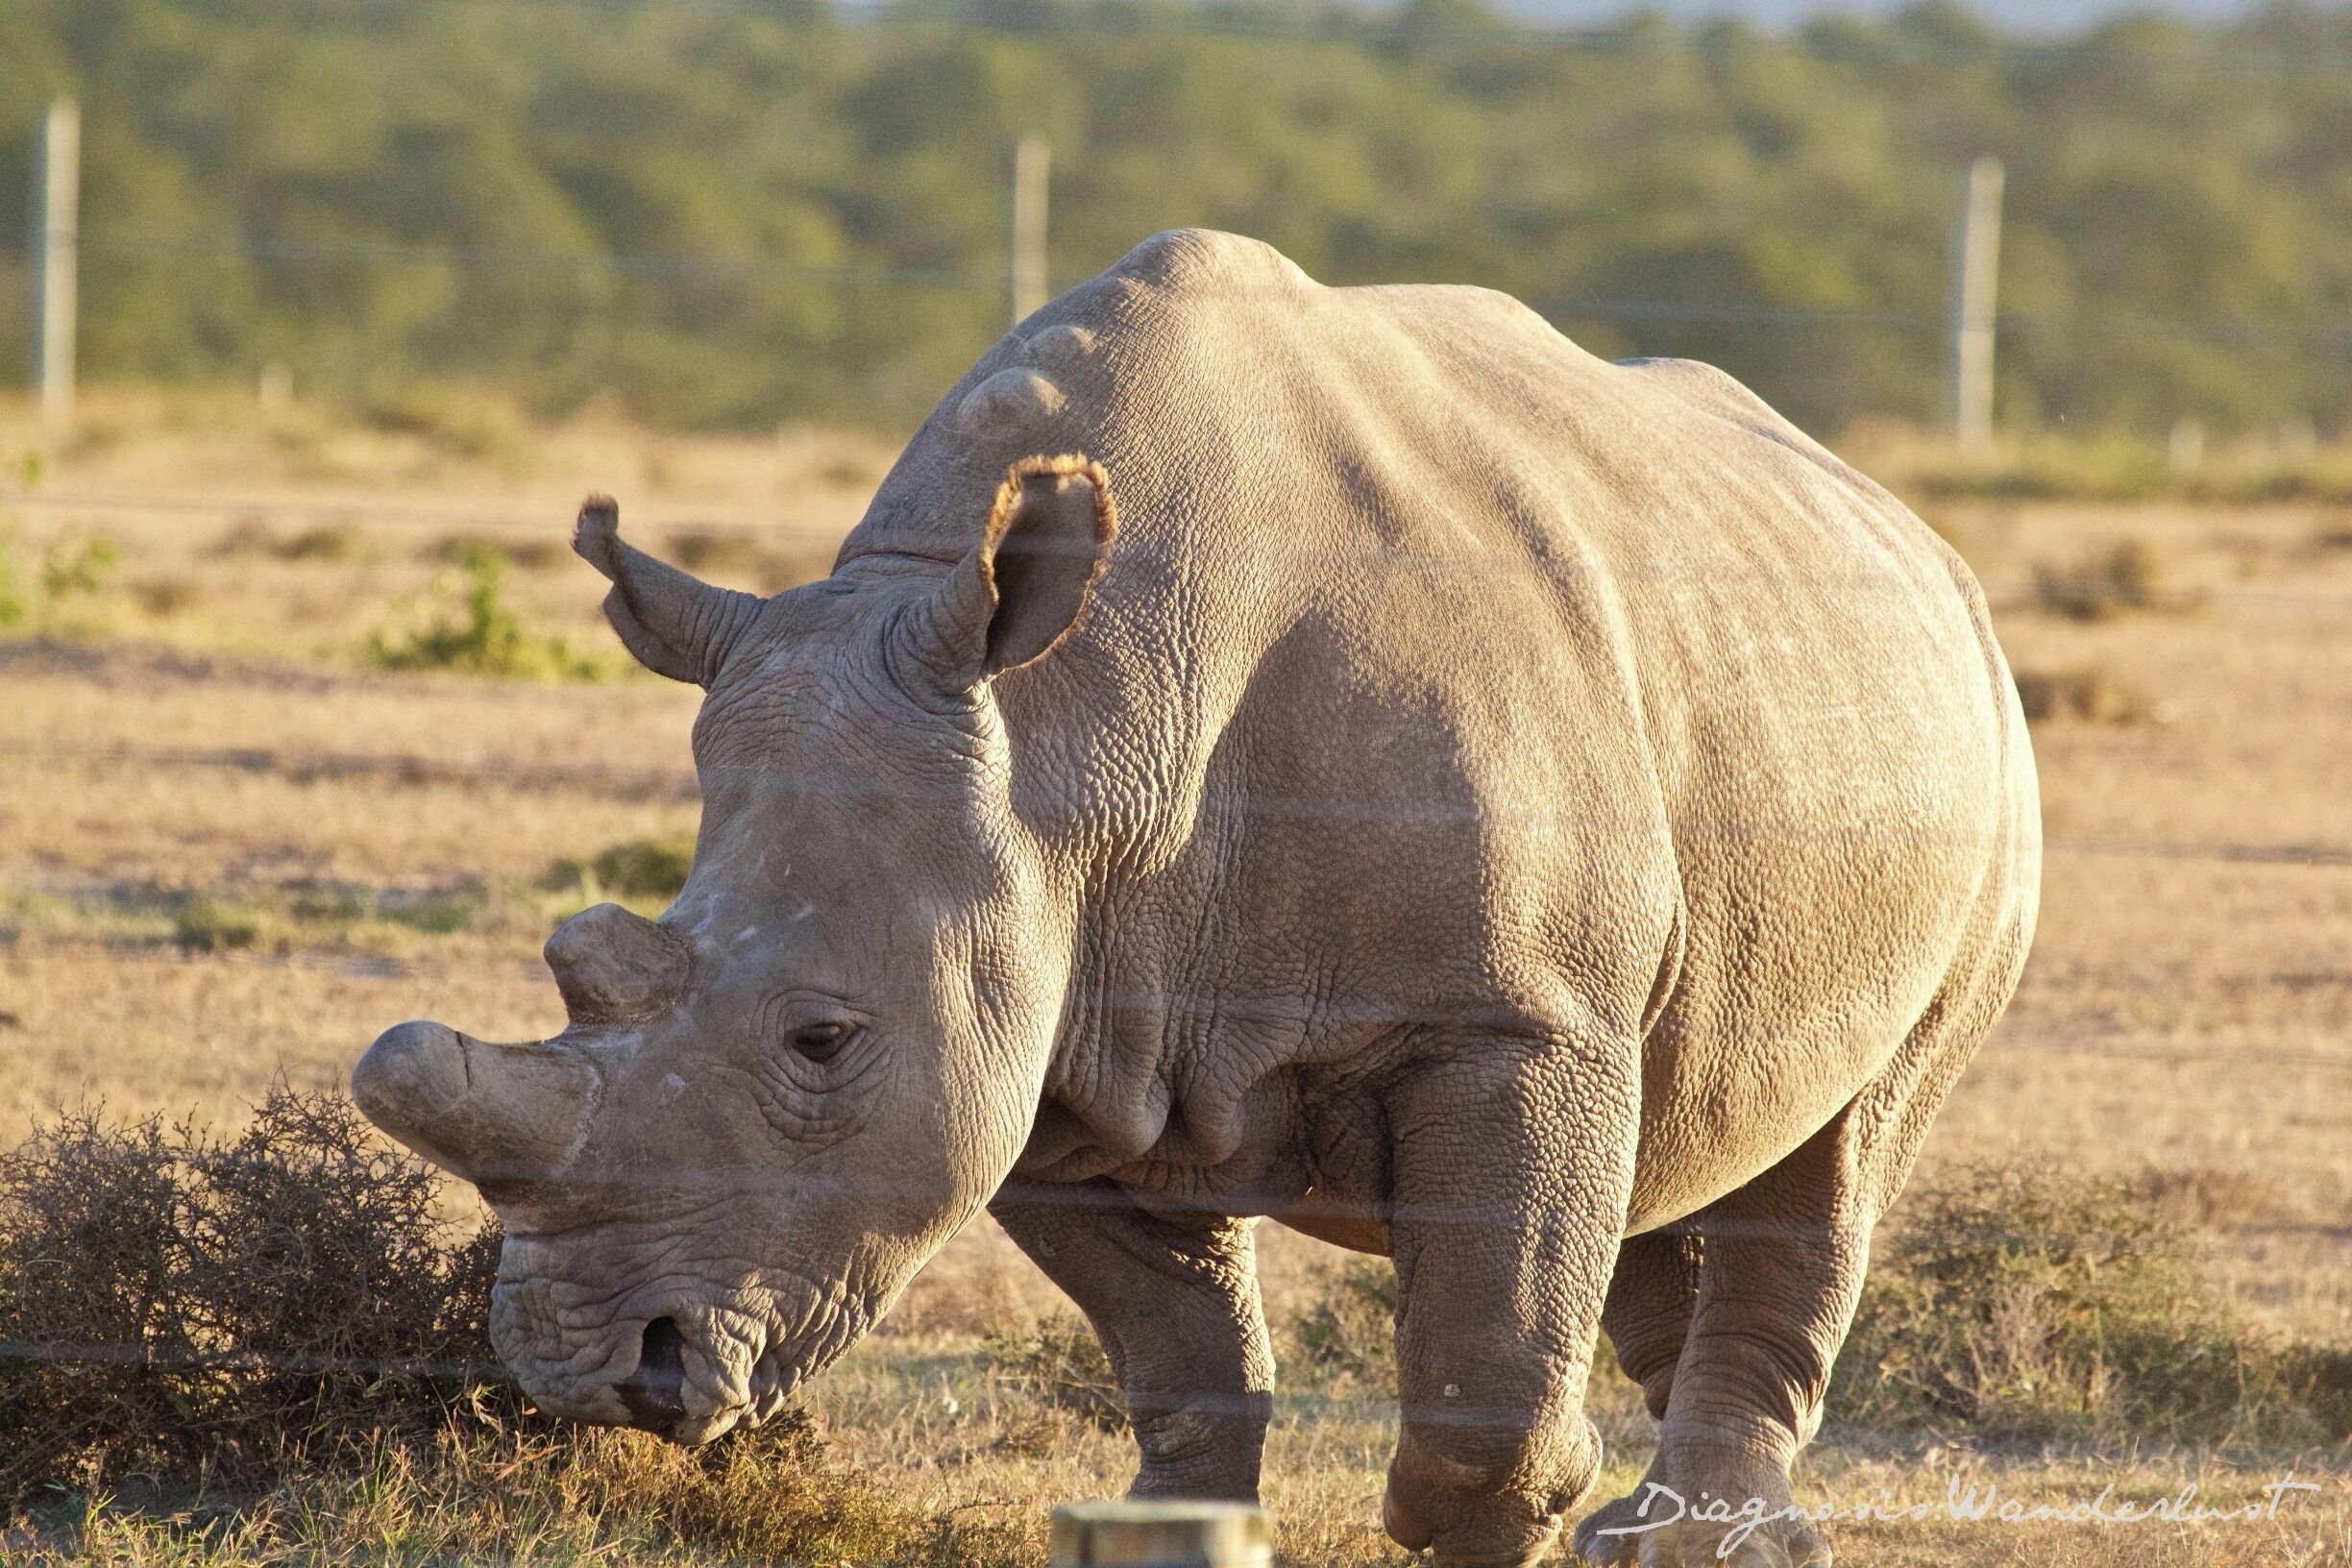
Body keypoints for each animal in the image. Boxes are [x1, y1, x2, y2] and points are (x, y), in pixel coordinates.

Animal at [353, 229, 2039, 1567]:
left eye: (822, 1042)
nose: (588, 1369)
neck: (1074, 733)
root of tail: (1912, 531)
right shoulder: (1051, 1034)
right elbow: (1181, 1362)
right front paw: (1181, 1522)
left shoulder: (1516, 1018)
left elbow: (1485, 1393)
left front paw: (1518, 1514)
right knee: (1684, 1153)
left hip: (1986, 751)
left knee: (1844, 1151)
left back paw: (1694, 1542)